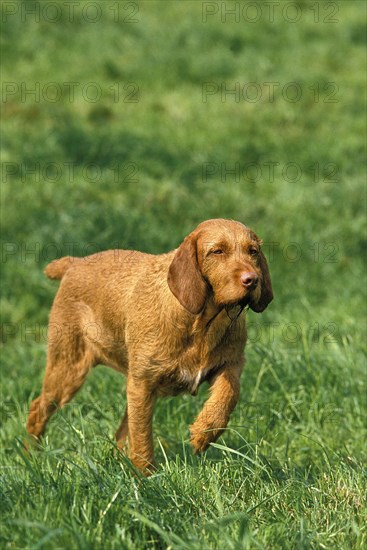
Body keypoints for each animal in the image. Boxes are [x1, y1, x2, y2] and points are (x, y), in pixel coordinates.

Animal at [25, 220, 274, 474]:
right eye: (217, 251)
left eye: (253, 251)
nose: (253, 279)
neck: (201, 323)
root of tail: (75, 263)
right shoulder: (143, 384)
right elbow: (142, 437)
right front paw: (147, 477)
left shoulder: (231, 363)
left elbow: (230, 393)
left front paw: (204, 432)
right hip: (68, 370)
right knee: (37, 409)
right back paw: (31, 459)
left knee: (122, 432)